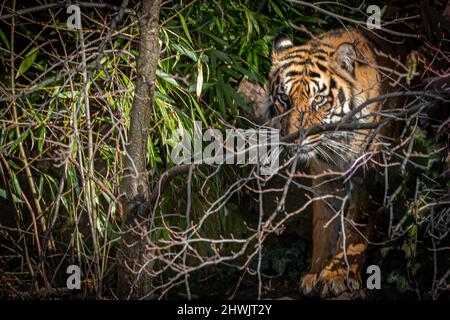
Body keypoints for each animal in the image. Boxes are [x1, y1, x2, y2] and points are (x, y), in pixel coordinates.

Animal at [268, 28, 404, 298]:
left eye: (319, 100)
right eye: (284, 98)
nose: (295, 138)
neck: (334, 143)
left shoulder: (366, 175)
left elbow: (354, 228)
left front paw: (337, 275)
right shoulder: (323, 178)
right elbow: (323, 226)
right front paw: (315, 273)